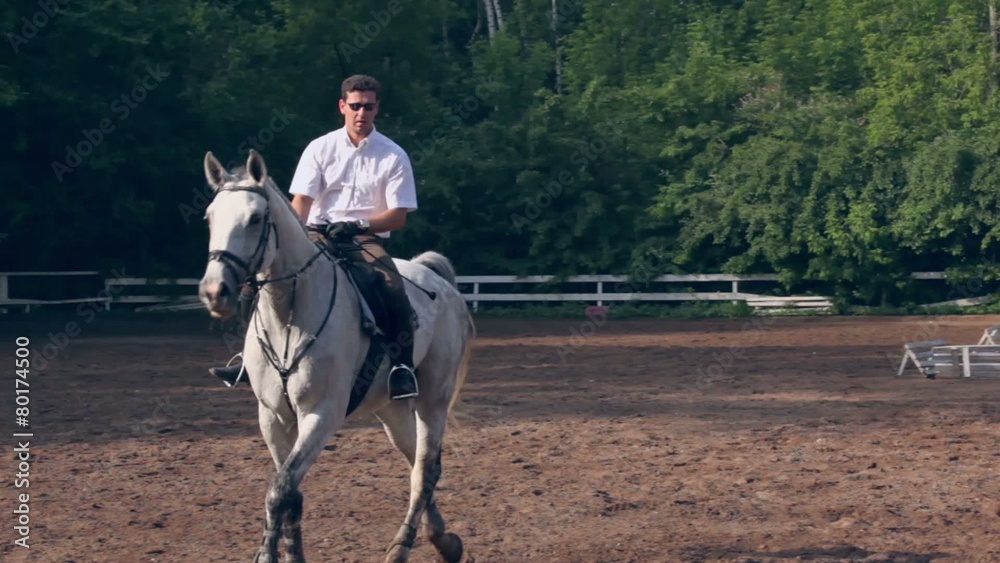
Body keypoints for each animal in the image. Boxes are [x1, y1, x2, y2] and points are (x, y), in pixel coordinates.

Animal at [197, 149, 475, 563]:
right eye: (210, 217)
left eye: (256, 218)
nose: (216, 291)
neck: (289, 317)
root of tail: (437, 279)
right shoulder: (273, 417)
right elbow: (290, 493)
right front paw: (292, 556)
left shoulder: (321, 413)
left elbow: (279, 490)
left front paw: (268, 556)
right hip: (391, 410)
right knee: (416, 463)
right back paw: (444, 540)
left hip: (432, 399)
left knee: (426, 468)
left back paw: (402, 547)